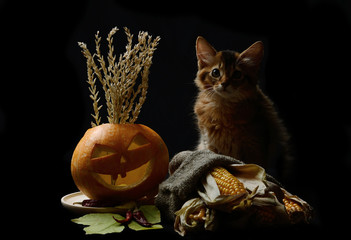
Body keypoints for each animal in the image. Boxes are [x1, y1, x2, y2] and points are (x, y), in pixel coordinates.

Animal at [195, 36, 292, 170]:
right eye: (215, 72)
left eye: (237, 74)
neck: (223, 109)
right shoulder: (209, 144)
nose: (224, 84)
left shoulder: (255, 147)